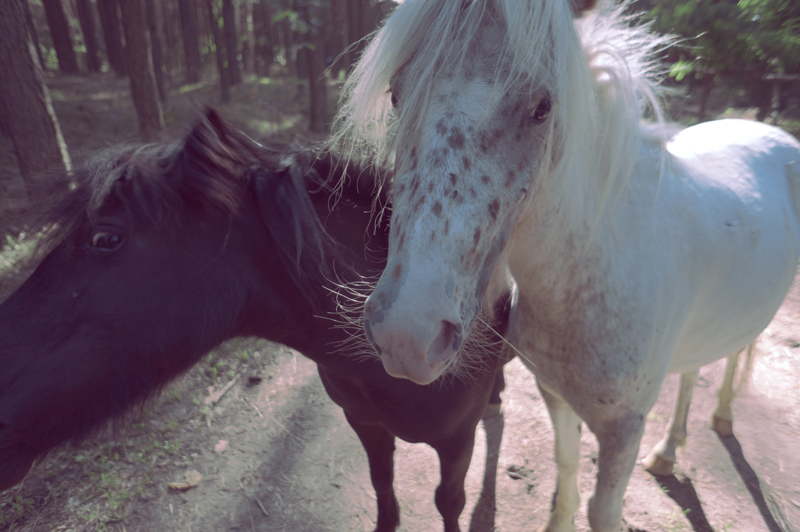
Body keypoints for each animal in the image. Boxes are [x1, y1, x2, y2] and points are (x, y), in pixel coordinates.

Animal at [329, 0, 800, 530]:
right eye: (396, 93)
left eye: (543, 108)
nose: (407, 336)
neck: (594, 269)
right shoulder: (554, 393)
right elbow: (567, 468)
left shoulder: (623, 431)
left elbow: (601, 509)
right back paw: (668, 452)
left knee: (738, 354)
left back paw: (721, 417)